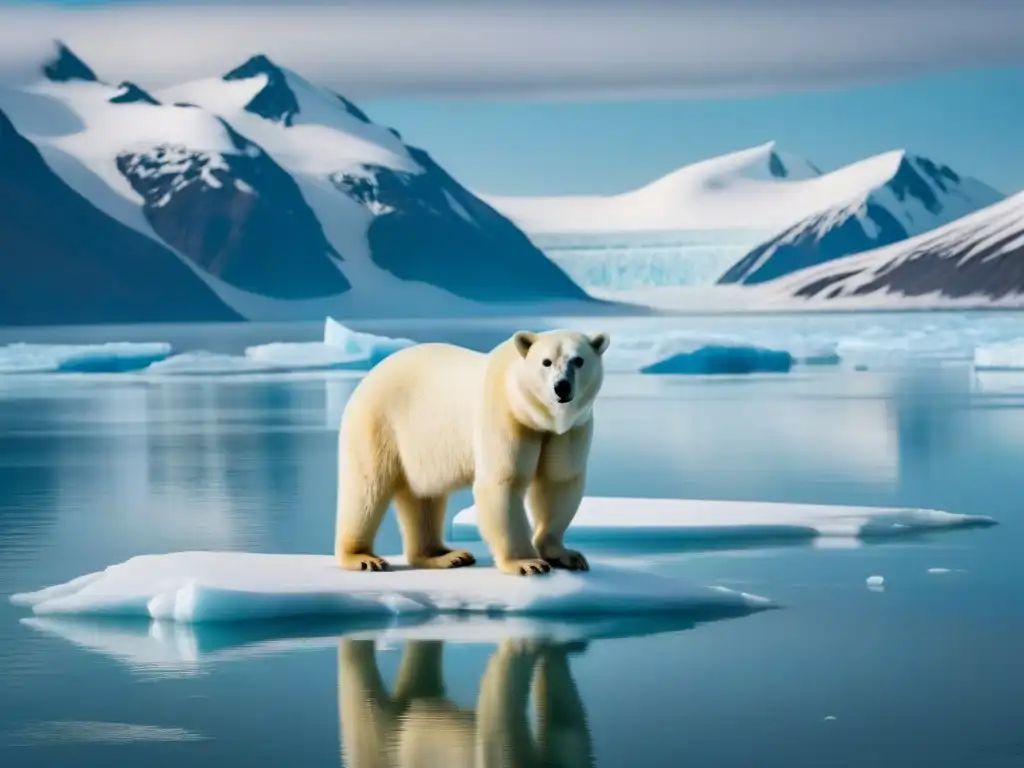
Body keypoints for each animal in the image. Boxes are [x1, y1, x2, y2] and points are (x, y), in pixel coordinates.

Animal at [333, 329, 606, 577]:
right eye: (546, 362)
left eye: (578, 360)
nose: (562, 387)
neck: (535, 416)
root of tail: (368, 377)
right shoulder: (506, 417)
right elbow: (504, 483)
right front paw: (527, 563)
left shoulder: (569, 431)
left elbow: (559, 481)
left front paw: (566, 555)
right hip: (379, 423)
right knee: (367, 489)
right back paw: (363, 557)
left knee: (423, 498)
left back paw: (446, 555)